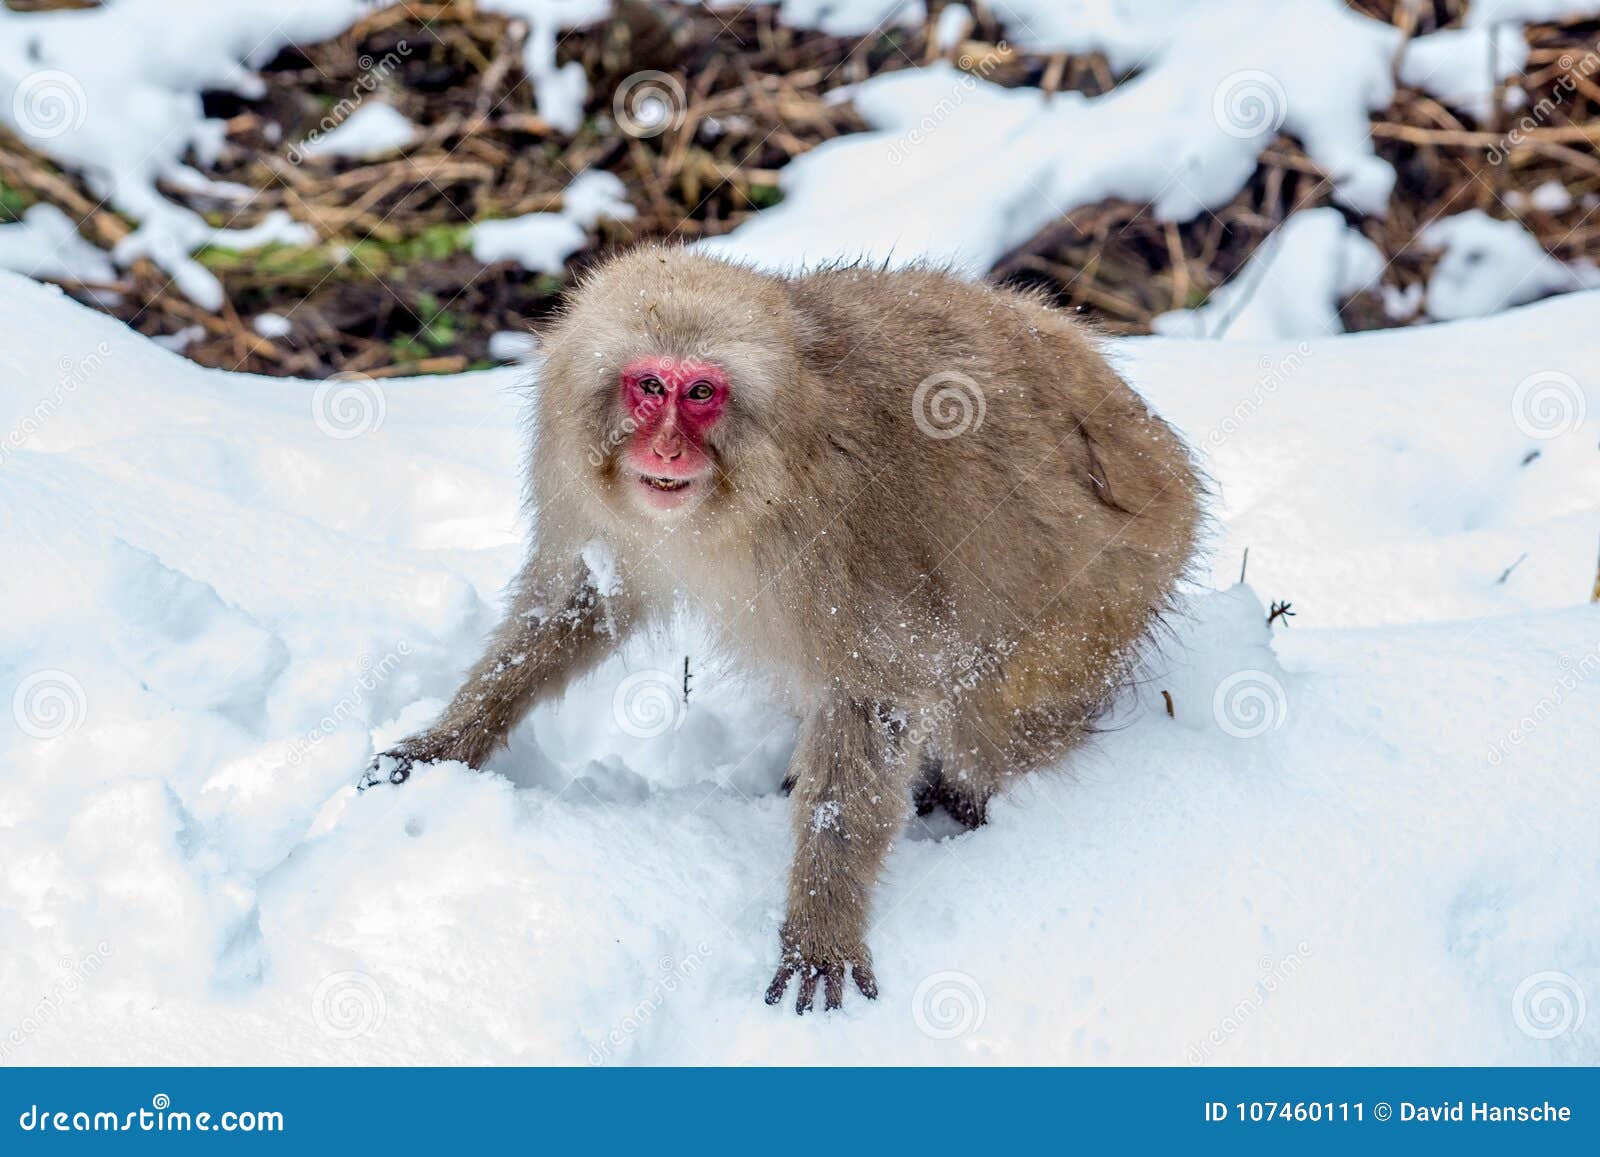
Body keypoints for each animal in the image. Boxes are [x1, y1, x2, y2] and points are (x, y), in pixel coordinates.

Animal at [363, 244, 1203, 1011]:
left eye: (703, 391)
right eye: (650, 386)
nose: (666, 447)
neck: (754, 481)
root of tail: (1163, 457)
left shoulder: (847, 516)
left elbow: (878, 695)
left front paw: (822, 920)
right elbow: (578, 600)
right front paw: (447, 741)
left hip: (1102, 601)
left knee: (987, 729)